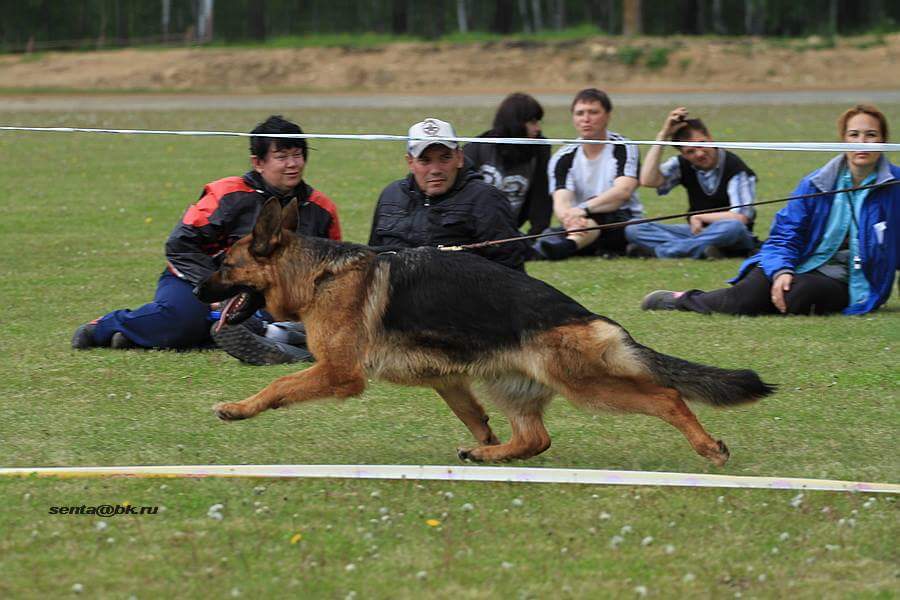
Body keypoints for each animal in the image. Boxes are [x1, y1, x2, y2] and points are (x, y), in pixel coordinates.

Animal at [195, 199, 772, 466]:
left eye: (225, 264)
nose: (196, 287)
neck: (319, 275)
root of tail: (589, 317)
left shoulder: (339, 374)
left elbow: (278, 385)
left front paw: (238, 408)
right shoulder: (448, 380)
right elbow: (474, 419)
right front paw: (484, 444)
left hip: (587, 386)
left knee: (667, 396)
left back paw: (708, 448)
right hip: (507, 382)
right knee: (535, 438)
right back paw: (489, 456)